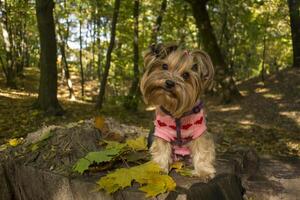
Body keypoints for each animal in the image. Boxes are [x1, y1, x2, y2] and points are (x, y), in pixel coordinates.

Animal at [141, 43, 216, 180]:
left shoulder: (199, 131)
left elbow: (202, 149)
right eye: (164, 66)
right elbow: (161, 148)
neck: (176, 112)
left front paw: (204, 171)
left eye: (186, 75)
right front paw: (159, 169)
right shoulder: (162, 131)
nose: (169, 83)